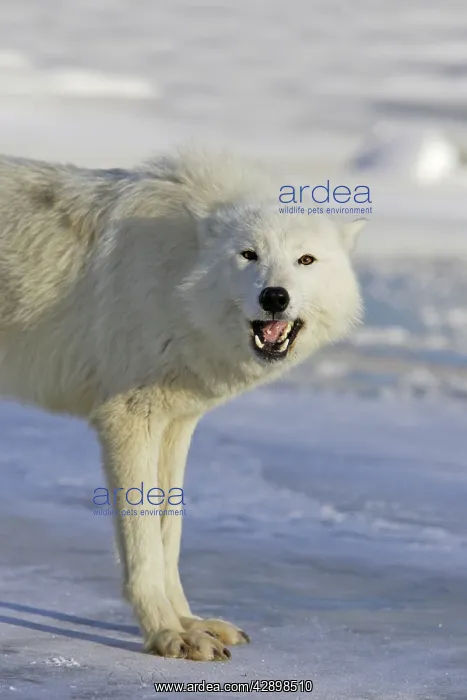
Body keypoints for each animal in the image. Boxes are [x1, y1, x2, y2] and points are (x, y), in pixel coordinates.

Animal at [0, 148, 365, 660]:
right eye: (248, 255)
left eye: (305, 259)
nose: (275, 296)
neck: (179, 278)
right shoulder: (128, 419)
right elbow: (144, 545)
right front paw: (166, 633)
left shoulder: (176, 424)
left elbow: (168, 538)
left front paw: (190, 622)